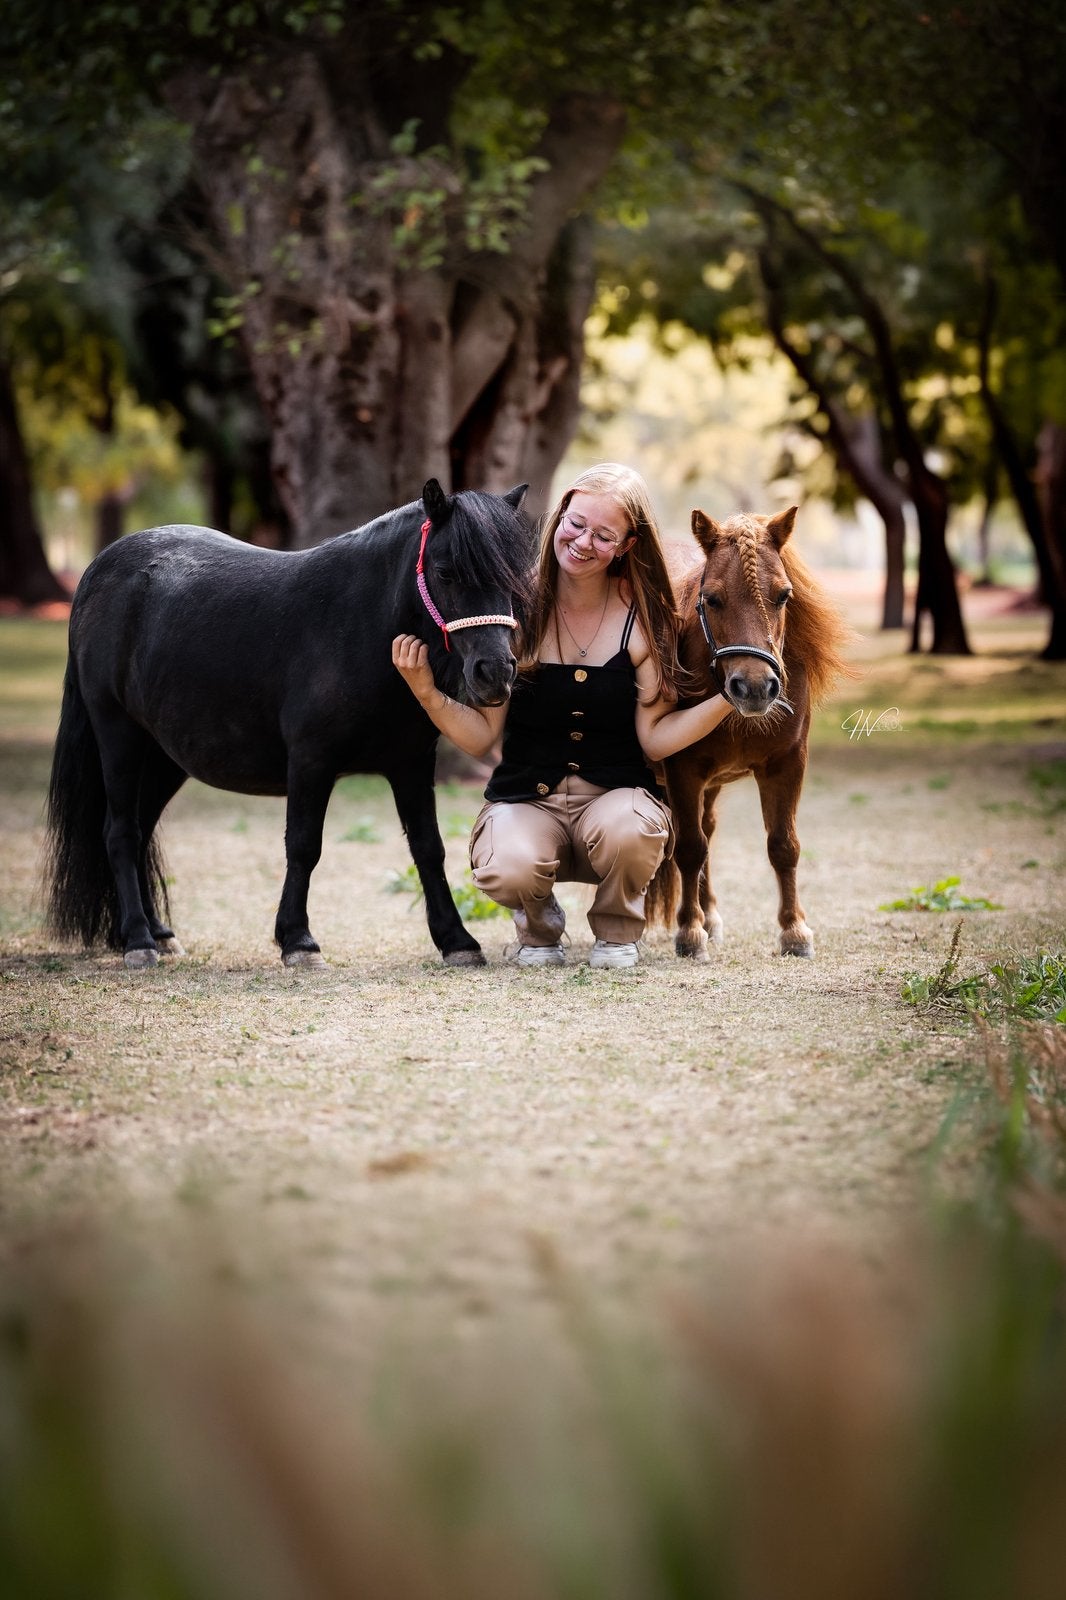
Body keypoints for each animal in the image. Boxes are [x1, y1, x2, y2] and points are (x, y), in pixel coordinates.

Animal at [45, 479, 533, 970]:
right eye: (446, 572)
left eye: (514, 575)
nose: (494, 672)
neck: (359, 625)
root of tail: (98, 569)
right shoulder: (310, 762)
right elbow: (303, 846)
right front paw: (299, 940)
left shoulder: (410, 763)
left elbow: (428, 847)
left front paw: (457, 940)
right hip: (118, 735)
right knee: (121, 833)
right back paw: (139, 940)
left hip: (163, 757)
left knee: (141, 830)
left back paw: (159, 933)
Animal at [646, 505, 853, 959]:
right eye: (712, 598)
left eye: (784, 595)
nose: (755, 687)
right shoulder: (683, 769)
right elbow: (689, 849)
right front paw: (689, 932)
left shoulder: (786, 765)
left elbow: (784, 846)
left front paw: (794, 931)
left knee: (707, 829)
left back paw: (710, 915)